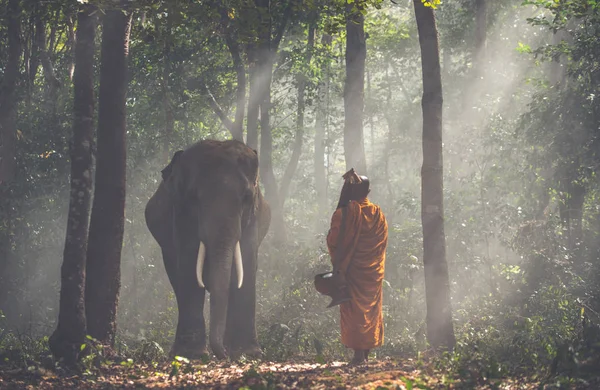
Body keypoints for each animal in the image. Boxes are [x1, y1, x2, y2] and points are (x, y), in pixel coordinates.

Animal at [145, 139, 270, 360]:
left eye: (246, 197)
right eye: (194, 198)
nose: (223, 355)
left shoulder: (253, 220)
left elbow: (247, 264)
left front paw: (248, 353)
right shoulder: (181, 215)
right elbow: (188, 264)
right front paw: (192, 354)